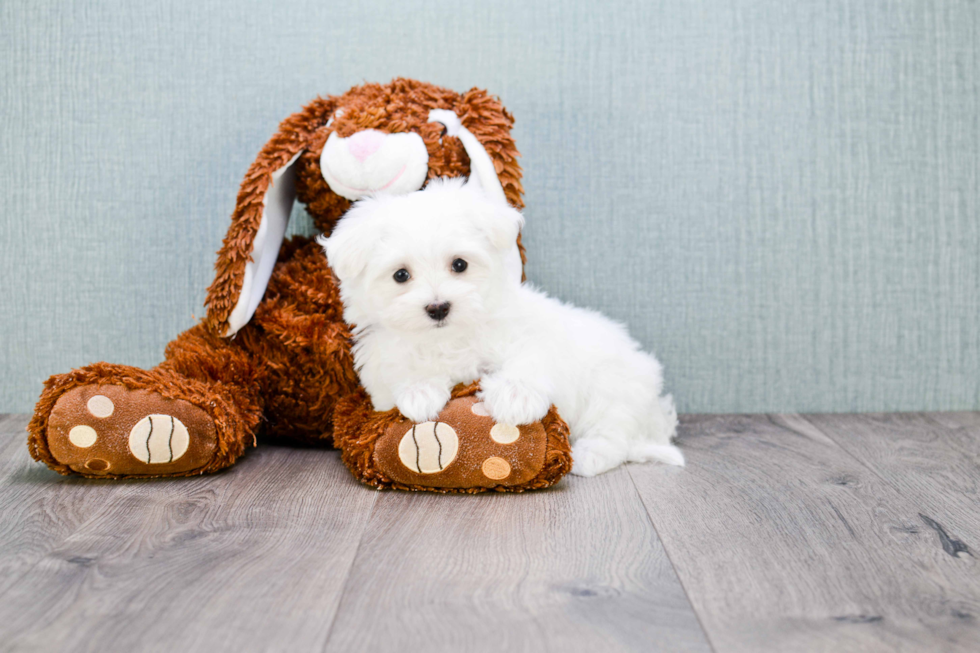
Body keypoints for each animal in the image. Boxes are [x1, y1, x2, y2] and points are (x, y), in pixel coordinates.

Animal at [322, 178, 680, 474]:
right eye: (400, 275)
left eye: (460, 264)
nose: (438, 307)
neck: (449, 337)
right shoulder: (381, 364)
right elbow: (400, 372)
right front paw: (419, 391)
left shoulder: (530, 333)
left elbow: (530, 357)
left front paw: (514, 395)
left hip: (614, 387)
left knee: (613, 432)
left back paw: (587, 456)